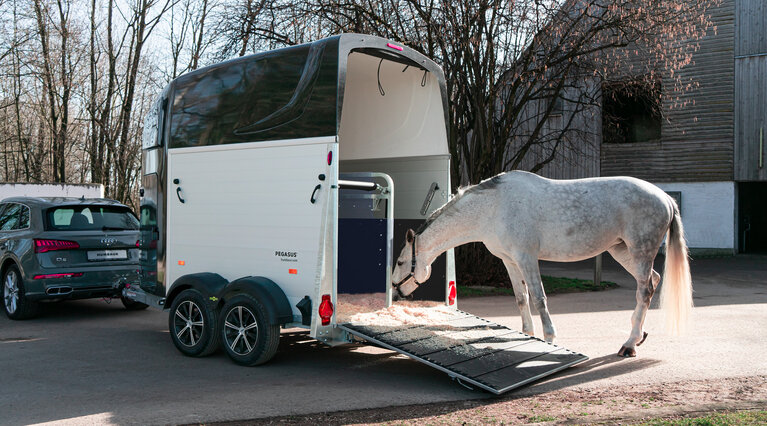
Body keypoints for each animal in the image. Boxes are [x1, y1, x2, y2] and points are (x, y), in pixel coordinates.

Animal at [391, 170, 692, 357]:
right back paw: (637, 335)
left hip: (640, 251)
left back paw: (628, 345)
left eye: (401, 260)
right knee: (652, 281)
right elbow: (521, 298)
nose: (396, 291)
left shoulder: (526, 257)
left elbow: (539, 298)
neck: (493, 208)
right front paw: (527, 334)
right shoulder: (510, 260)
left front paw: (549, 338)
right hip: (623, 251)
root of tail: (665, 198)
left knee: (644, 290)